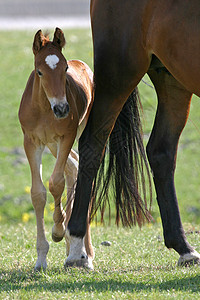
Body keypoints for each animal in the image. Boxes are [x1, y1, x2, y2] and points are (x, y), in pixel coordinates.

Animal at [18, 28, 94, 270]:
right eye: (39, 71)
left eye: (65, 69)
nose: (61, 109)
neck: (44, 108)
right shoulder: (32, 142)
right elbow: (38, 193)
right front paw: (41, 258)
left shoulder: (66, 136)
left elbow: (56, 182)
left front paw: (59, 230)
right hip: (52, 145)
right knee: (74, 167)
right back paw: (73, 250)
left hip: (70, 137)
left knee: (77, 171)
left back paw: (86, 253)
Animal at [65, 0, 200, 268]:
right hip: (118, 74)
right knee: (92, 145)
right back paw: (77, 250)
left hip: (173, 79)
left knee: (161, 152)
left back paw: (183, 247)